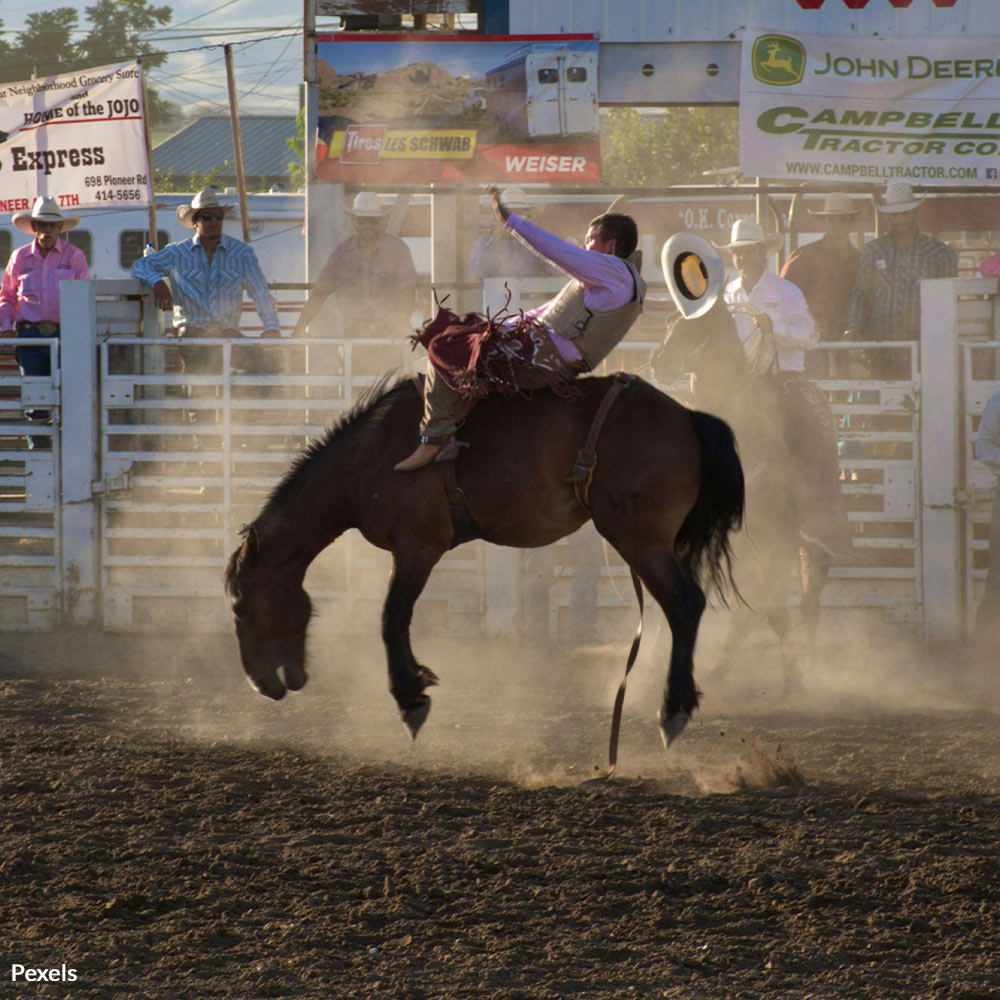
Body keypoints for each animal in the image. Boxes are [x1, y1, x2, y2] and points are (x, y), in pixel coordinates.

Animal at [227, 376, 744, 756]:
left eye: (241, 607)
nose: (259, 686)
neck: (370, 459)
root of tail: (686, 416)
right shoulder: (413, 551)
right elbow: (399, 619)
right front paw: (421, 680)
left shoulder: (416, 547)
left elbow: (392, 617)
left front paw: (409, 700)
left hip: (637, 537)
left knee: (684, 604)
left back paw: (673, 710)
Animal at [652, 300, 832, 700]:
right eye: (669, 321)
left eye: (698, 325)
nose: (659, 360)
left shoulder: (769, 539)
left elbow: (773, 608)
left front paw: (793, 679)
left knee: (802, 600)